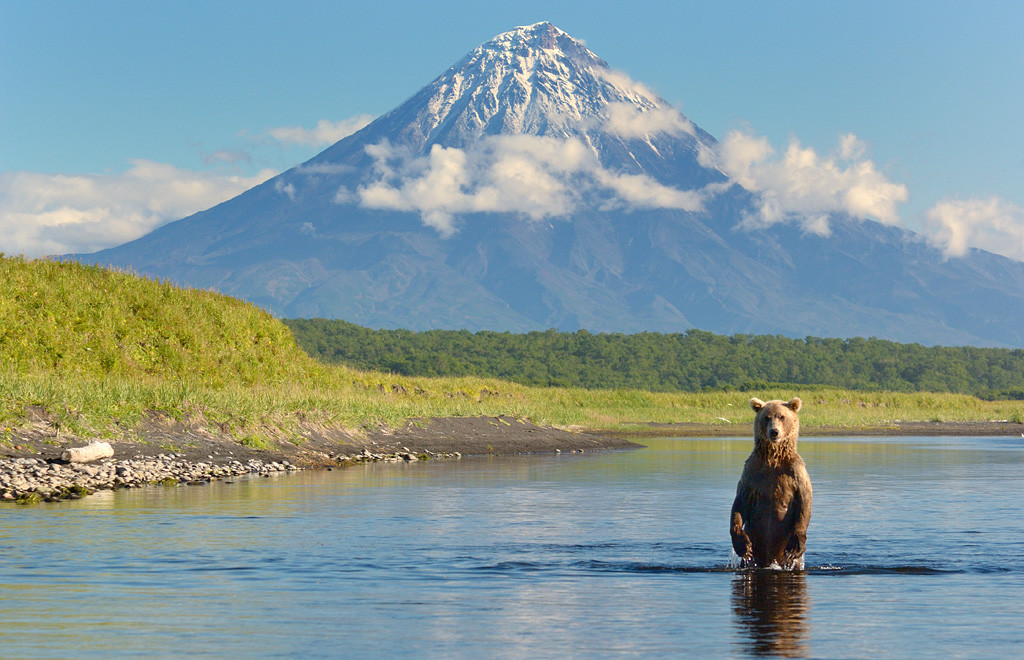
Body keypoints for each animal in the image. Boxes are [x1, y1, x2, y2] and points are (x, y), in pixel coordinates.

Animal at [733, 397, 811, 573]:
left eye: (782, 416)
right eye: (767, 417)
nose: (774, 432)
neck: (774, 458)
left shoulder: (795, 472)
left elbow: (804, 501)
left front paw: (796, 545)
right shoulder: (752, 471)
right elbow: (740, 502)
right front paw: (742, 544)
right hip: (753, 556)